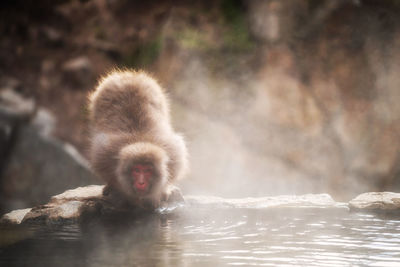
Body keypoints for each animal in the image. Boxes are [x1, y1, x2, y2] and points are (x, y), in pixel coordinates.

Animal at [88, 70, 188, 210]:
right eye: (136, 170)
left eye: (147, 170)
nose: (141, 183)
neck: (141, 140)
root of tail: (130, 74)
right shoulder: (105, 155)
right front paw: (119, 190)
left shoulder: (174, 155)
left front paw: (160, 193)